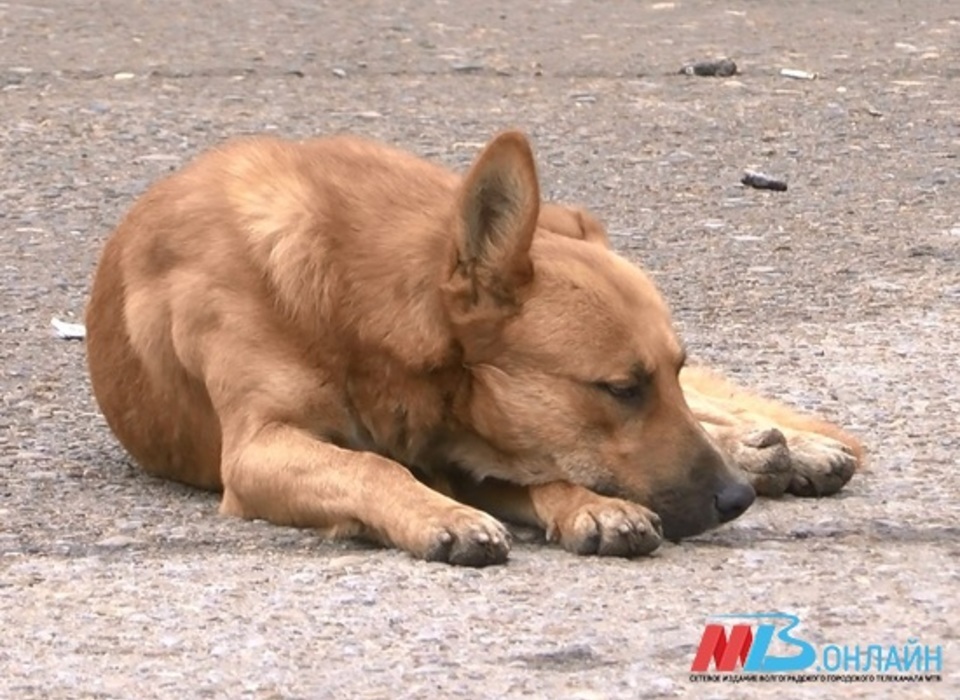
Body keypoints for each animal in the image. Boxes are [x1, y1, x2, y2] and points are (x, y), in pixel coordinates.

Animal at [84, 133, 864, 568]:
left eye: (664, 373)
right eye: (622, 389)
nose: (735, 502)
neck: (350, 302)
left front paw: (588, 504)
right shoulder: (260, 450)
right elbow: (371, 467)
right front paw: (448, 516)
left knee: (719, 412)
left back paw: (782, 451)